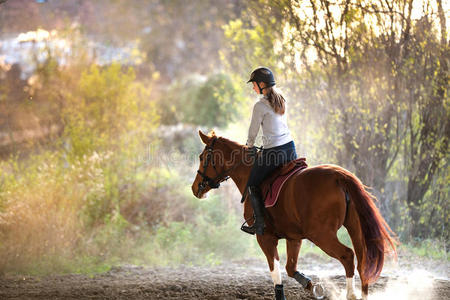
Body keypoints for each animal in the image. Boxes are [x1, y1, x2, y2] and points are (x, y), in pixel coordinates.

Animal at [192, 132, 396, 300]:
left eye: (202, 157)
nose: (195, 188)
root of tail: (339, 176)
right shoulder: (294, 238)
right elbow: (290, 269)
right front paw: (313, 287)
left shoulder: (265, 238)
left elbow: (275, 272)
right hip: (354, 227)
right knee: (362, 261)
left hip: (321, 235)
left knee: (347, 256)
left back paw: (351, 294)